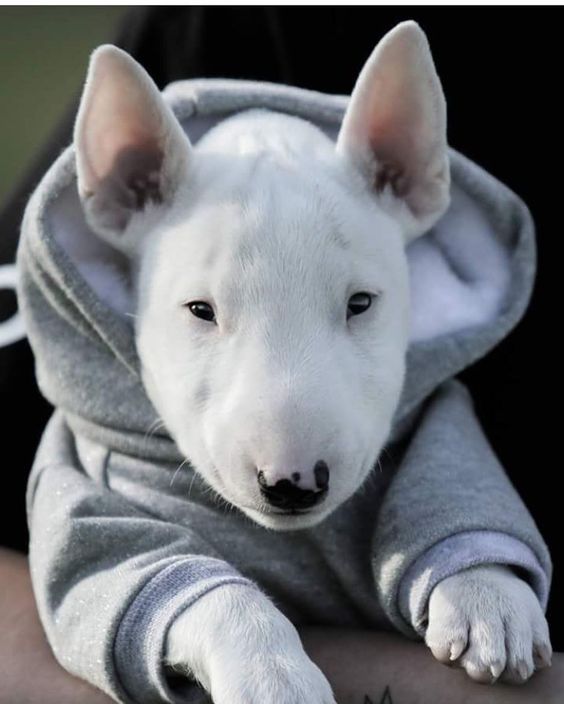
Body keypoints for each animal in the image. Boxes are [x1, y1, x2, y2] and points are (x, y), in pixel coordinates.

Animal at [22, 16, 552, 704]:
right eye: (200, 310)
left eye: (360, 303)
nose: (293, 483)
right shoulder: (98, 514)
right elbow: (165, 579)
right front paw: (272, 676)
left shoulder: (434, 427)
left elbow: (452, 486)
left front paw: (491, 599)